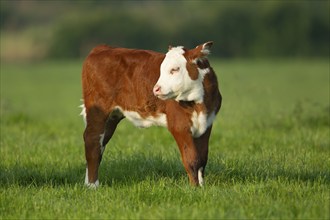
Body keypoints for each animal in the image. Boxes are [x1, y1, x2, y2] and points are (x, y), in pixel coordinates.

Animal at [81, 41, 223, 187]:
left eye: (175, 69)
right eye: (161, 70)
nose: (156, 89)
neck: (199, 103)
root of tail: (101, 48)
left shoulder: (207, 124)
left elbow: (202, 158)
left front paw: (202, 186)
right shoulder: (179, 125)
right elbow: (192, 159)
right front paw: (194, 188)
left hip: (112, 116)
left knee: (100, 143)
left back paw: (88, 183)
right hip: (98, 109)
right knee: (92, 141)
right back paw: (92, 185)